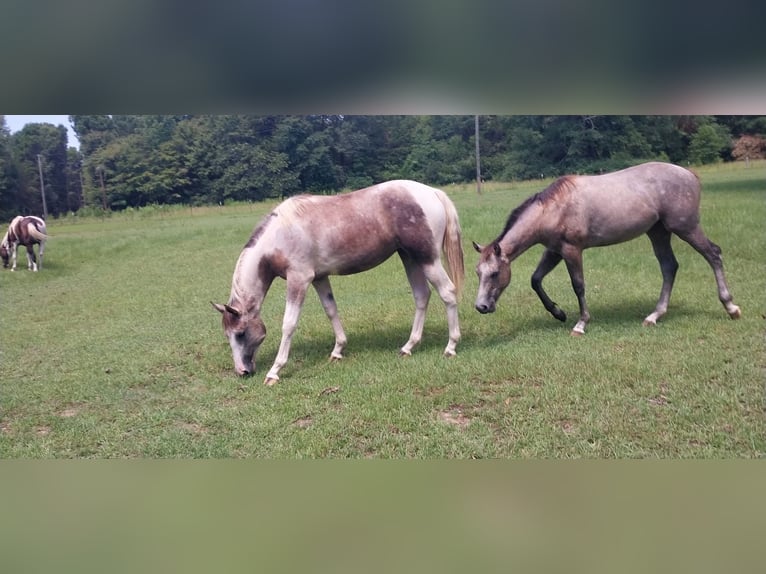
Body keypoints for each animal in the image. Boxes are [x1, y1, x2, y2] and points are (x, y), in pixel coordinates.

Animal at [474, 162, 744, 338]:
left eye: (495, 273)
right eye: (478, 273)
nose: (481, 307)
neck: (554, 208)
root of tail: (688, 173)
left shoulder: (572, 250)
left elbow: (578, 285)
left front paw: (581, 324)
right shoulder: (554, 251)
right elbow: (535, 280)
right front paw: (558, 313)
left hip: (685, 227)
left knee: (713, 254)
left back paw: (731, 307)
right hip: (658, 232)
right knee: (669, 267)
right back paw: (654, 316)